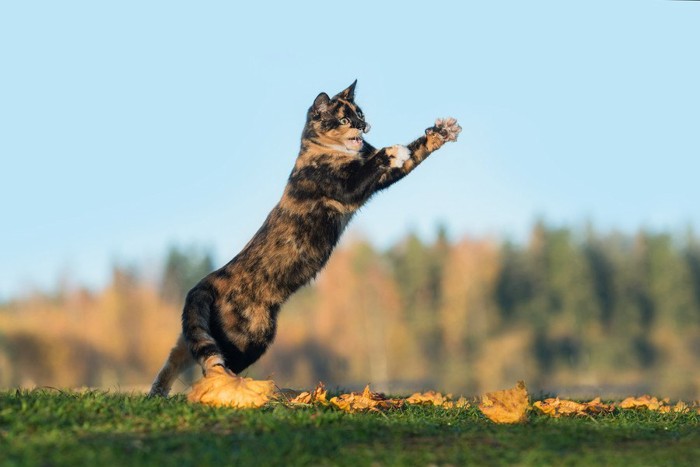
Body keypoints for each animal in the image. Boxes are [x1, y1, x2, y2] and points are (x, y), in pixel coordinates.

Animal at [149, 82, 460, 396]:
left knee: (180, 354)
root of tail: (206, 283)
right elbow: (375, 163)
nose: (364, 126)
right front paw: (393, 150)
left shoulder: (378, 180)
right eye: (345, 119)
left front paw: (441, 132)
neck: (330, 152)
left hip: (202, 334)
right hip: (248, 338)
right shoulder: (346, 187)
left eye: (360, 113)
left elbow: (412, 155)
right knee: (211, 369)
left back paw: (159, 392)